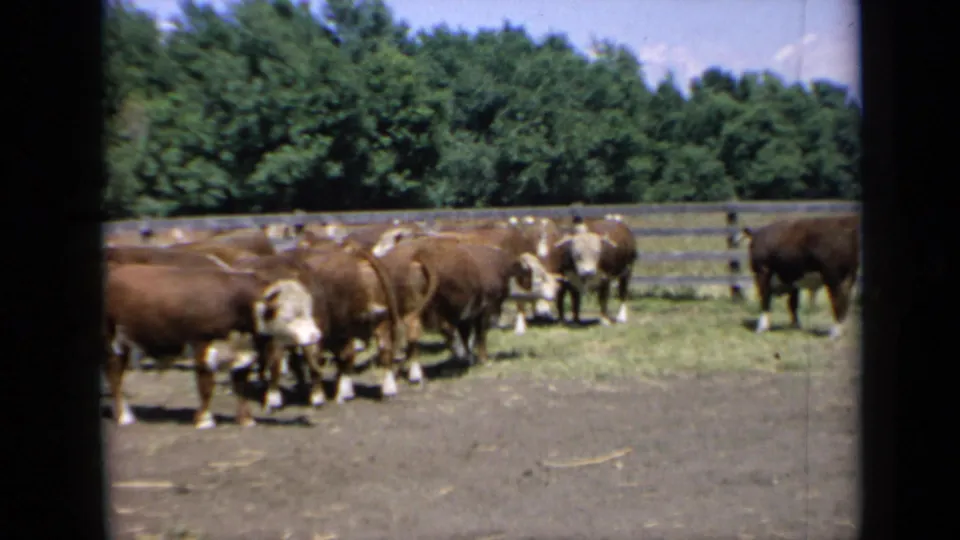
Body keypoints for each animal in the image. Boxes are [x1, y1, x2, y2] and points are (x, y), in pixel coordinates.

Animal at [103, 264, 322, 429]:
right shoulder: (203, 346)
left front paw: (246, 419)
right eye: (290, 315)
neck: (235, 304)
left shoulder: (244, 353)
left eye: (308, 310)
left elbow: (241, 386)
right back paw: (124, 416)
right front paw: (205, 420)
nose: (316, 335)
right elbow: (206, 387)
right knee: (114, 376)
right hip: (112, 341)